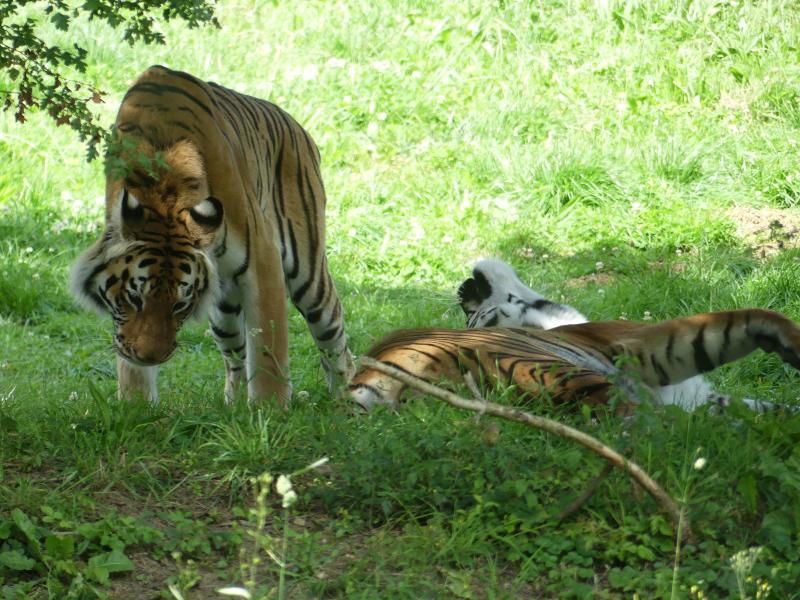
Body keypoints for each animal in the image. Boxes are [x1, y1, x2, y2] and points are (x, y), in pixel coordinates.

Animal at [70, 65, 354, 405]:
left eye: (180, 305)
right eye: (134, 298)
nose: (151, 357)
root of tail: (296, 125)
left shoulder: (263, 260)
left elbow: (268, 348)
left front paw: (270, 410)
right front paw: (136, 406)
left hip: (310, 279)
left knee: (336, 344)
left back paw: (348, 400)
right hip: (224, 310)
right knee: (235, 358)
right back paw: (234, 406)